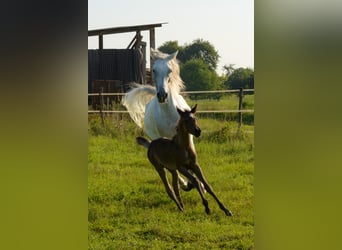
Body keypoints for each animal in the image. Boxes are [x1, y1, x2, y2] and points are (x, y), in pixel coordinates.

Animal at [123, 49, 198, 191]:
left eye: (169, 70)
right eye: (154, 70)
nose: (162, 95)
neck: (167, 114)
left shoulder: (188, 137)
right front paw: (187, 183)